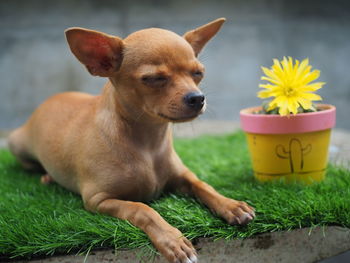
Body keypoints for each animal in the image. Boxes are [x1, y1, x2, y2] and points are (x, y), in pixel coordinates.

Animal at [8, 17, 254, 262]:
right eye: (154, 79)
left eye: (198, 74)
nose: (197, 98)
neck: (149, 141)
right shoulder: (98, 199)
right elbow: (142, 209)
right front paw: (172, 240)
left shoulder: (184, 176)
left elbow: (204, 185)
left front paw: (231, 205)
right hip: (16, 143)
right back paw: (46, 177)